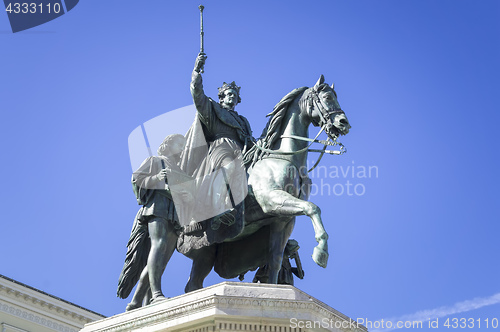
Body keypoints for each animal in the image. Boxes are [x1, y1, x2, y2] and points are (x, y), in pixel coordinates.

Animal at [184, 74, 352, 290]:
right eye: (327, 97)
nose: (344, 123)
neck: (283, 156)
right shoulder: (271, 199)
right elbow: (313, 208)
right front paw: (321, 251)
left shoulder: (282, 220)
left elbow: (275, 260)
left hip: (208, 251)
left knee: (193, 284)